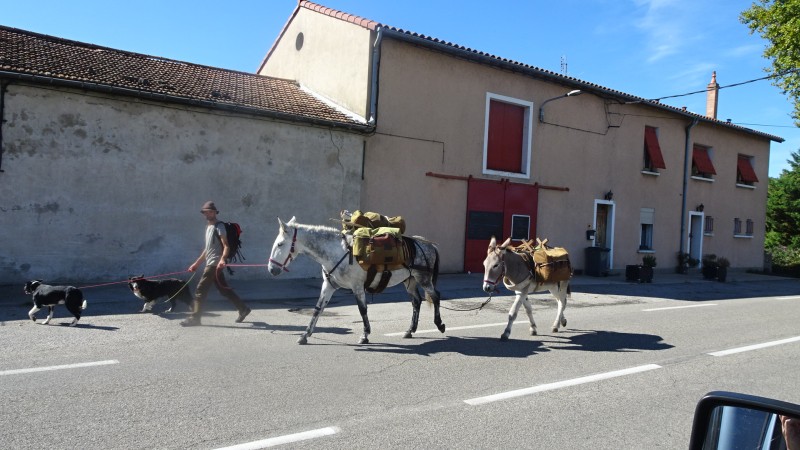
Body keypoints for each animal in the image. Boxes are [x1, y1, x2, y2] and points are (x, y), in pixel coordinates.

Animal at [268, 218, 444, 344]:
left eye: (280, 244)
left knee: (435, 297)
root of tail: (428, 245)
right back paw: (410, 330)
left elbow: (362, 309)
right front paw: (305, 334)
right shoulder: (329, 286)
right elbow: (318, 309)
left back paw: (440, 324)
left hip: (423, 279)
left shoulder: (357, 287)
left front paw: (365, 335)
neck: (338, 252)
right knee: (416, 302)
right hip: (410, 280)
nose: (272, 269)